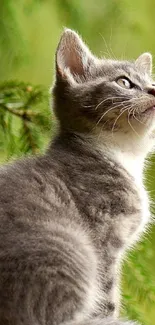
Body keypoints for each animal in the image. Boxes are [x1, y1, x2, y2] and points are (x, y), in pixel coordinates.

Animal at [0, 28, 154, 324]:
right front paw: (111, 317)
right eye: (124, 82)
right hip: (70, 249)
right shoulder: (104, 236)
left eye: (152, 82)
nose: (154, 89)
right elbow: (107, 295)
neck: (122, 155)